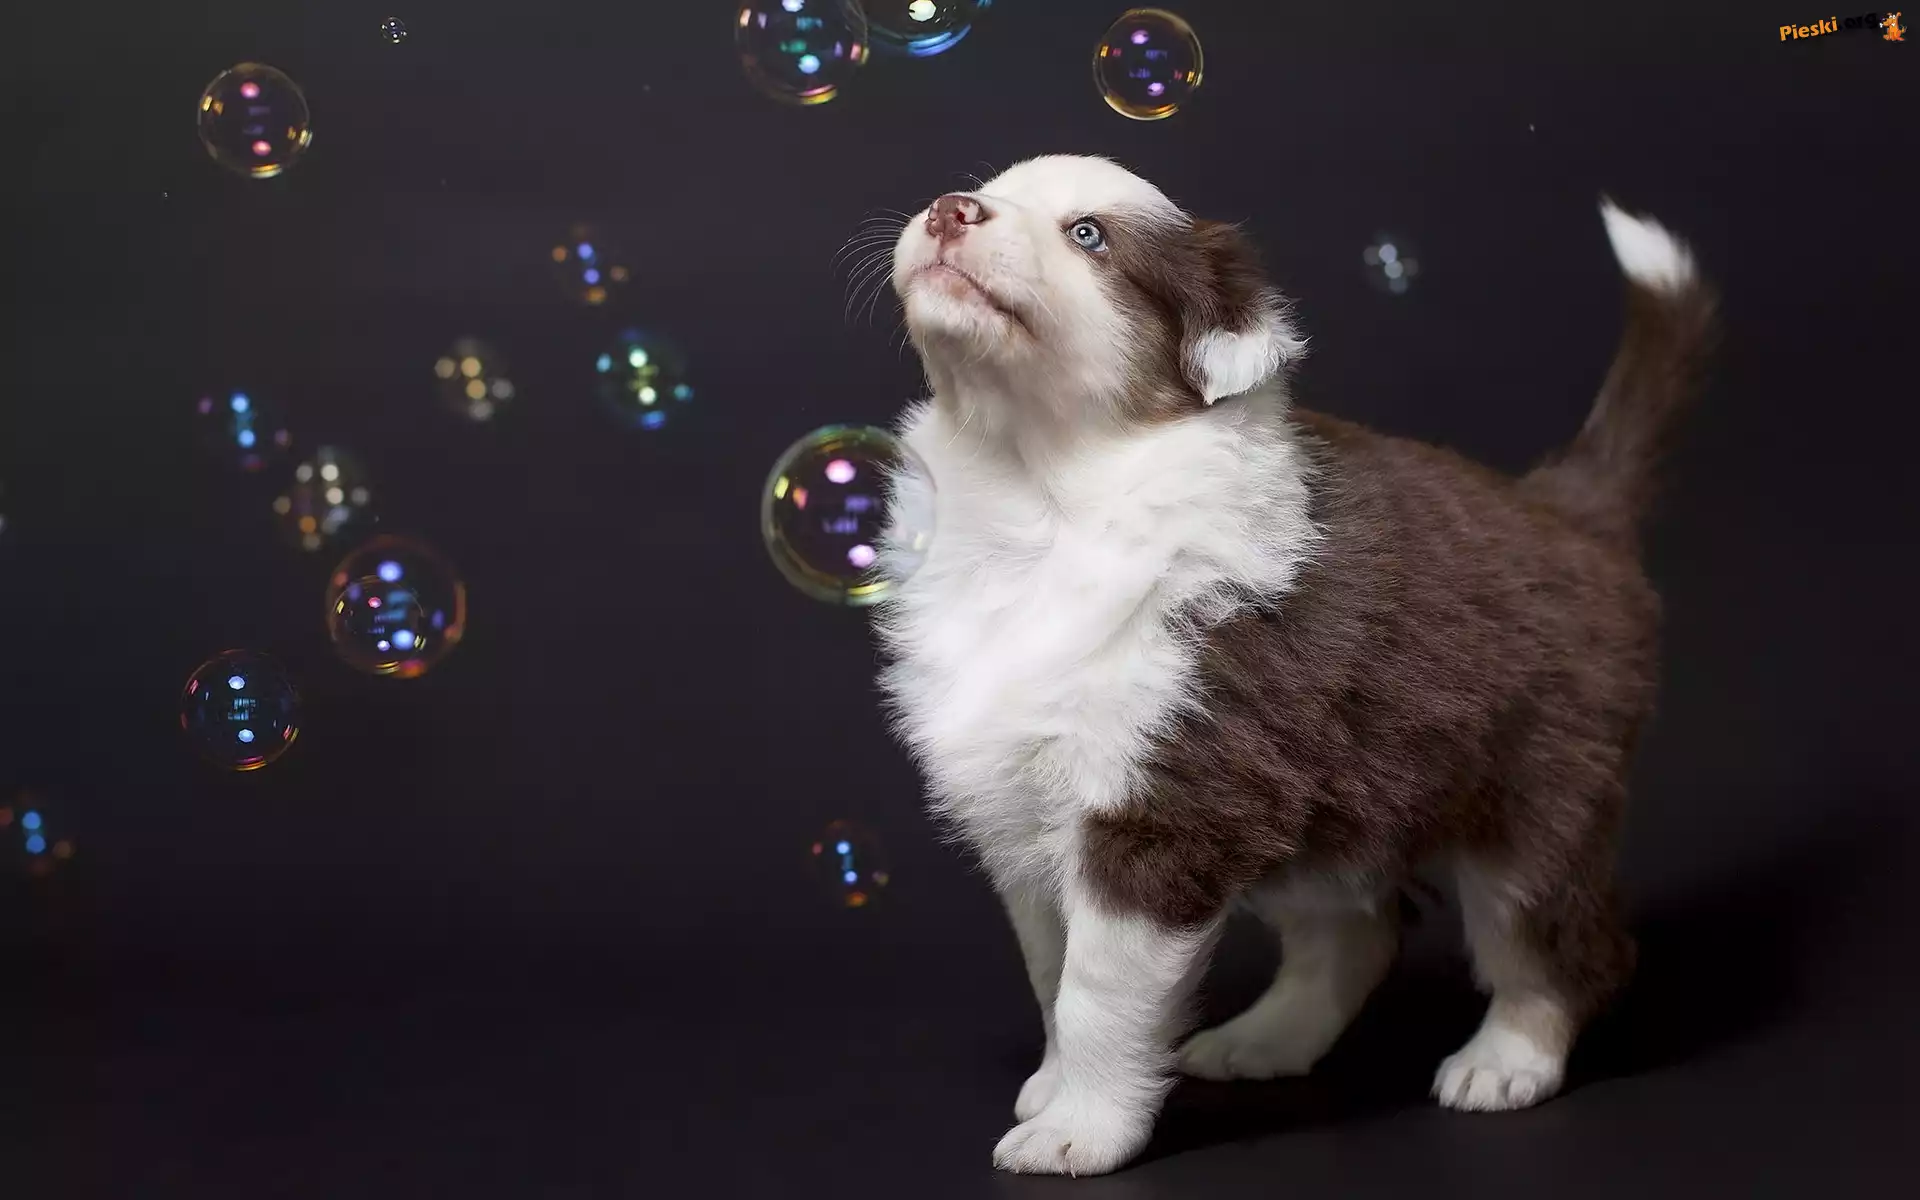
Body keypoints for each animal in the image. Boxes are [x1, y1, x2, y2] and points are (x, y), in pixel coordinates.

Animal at [868, 154, 1716, 1176]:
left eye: (1088, 235)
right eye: (987, 187)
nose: (949, 210)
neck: (1039, 490)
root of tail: (1566, 507)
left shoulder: (1161, 806)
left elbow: (1097, 993)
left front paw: (1079, 1131)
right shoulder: (1022, 813)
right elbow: (1051, 970)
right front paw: (1052, 1087)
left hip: (1538, 791)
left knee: (1553, 940)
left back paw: (1506, 1059)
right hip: (1329, 794)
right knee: (1358, 933)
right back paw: (1261, 1040)